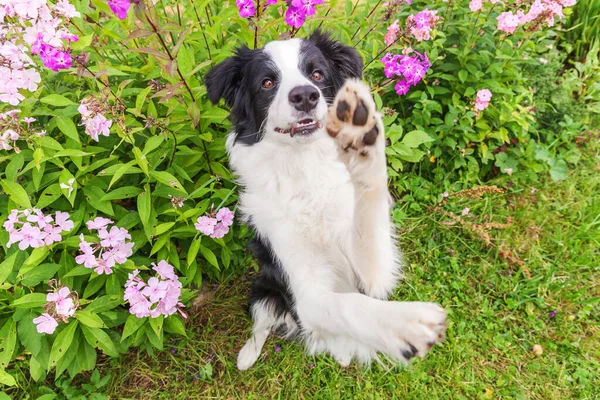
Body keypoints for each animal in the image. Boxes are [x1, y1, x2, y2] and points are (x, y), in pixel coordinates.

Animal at [206, 29, 446, 370]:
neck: (304, 172)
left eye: (317, 74)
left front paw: (363, 140)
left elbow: (368, 221)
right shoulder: (306, 294)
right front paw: (407, 323)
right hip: (263, 288)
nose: (306, 95)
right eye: (267, 83)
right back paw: (247, 355)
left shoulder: (374, 273)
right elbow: (348, 306)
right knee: (263, 320)